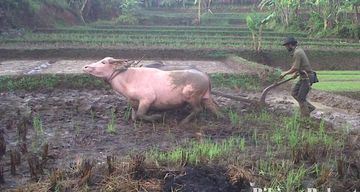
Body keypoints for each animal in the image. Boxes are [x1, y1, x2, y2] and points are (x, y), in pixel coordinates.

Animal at [82, 56, 221, 124]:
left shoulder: (147, 99)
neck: (128, 79)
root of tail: (205, 76)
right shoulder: (133, 101)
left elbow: (140, 114)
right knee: (213, 108)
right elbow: (134, 116)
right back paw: (221, 118)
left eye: (104, 62)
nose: (85, 66)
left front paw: (158, 117)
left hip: (192, 96)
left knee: (198, 109)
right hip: (205, 97)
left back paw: (183, 121)